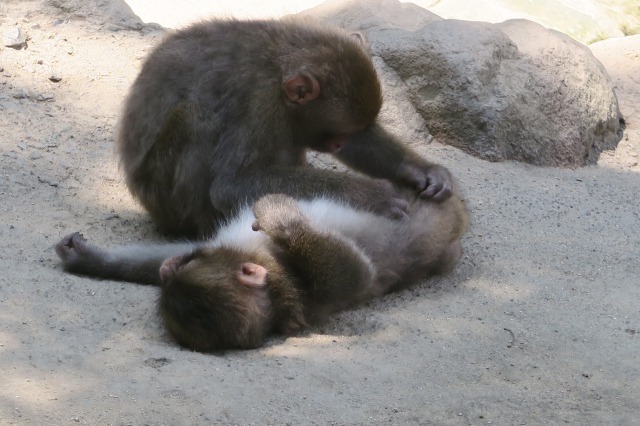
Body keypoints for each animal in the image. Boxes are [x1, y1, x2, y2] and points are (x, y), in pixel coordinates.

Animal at [117, 18, 454, 238]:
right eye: (337, 135)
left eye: (346, 135)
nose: (338, 145)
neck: (279, 64)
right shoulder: (258, 100)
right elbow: (231, 184)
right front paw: (370, 195)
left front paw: (420, 170)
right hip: (161, 192)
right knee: (198, 118)